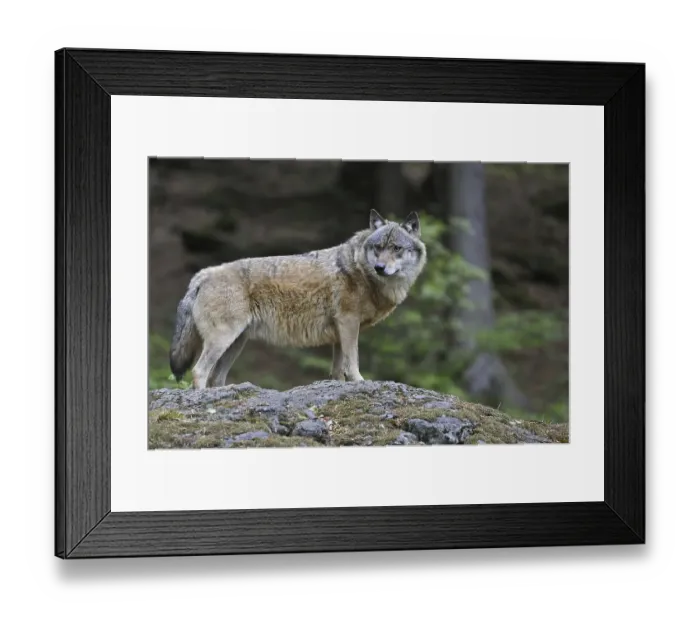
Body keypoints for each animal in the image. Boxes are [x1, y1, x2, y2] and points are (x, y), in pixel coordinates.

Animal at [169, 209, 427, 389]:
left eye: (396, 248)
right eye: (378, 247)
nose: (379, 267)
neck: (360, 269)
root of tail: (203, 274)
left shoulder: (339, 333)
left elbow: (337, 371)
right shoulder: (348, 324)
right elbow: (352, 362)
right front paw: (360, 382)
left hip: (235, 344)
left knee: (215, 378)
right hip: (223, 340)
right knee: (199, 372)